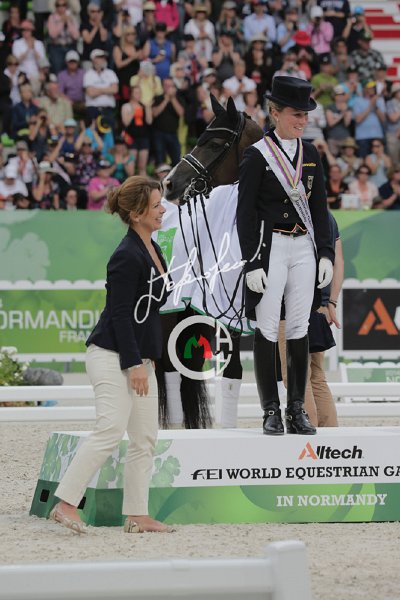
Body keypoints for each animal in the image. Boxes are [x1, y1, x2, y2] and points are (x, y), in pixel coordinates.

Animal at [156, 96, 263, 429]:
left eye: (215, 144)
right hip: (171, 311)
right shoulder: (233, 317)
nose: (168, 183)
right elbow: (233, 374)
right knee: (170, 368)